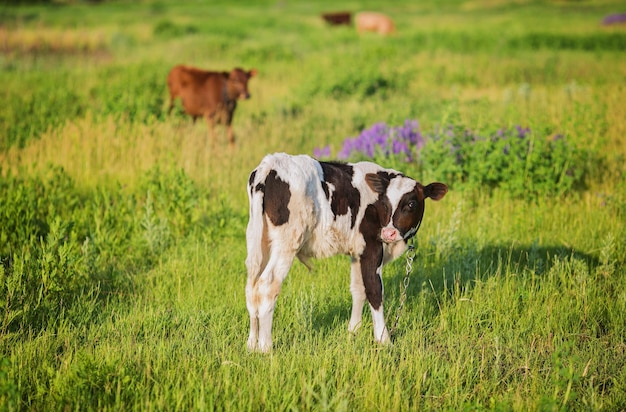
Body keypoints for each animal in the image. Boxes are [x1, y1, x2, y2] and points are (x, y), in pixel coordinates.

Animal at [244, 153, 444, 352]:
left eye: (411, 204)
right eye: (385, 204)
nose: (388, 233)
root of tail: (270, 164)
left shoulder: (358, 253)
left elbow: (358, 289)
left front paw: (353, 331)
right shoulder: (372, 247)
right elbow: (374, 290)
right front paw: (383, 339)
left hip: (257, 240)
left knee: (251, 287)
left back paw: (252, 345)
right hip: (287, 241)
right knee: (267, 285)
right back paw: (265, 346)